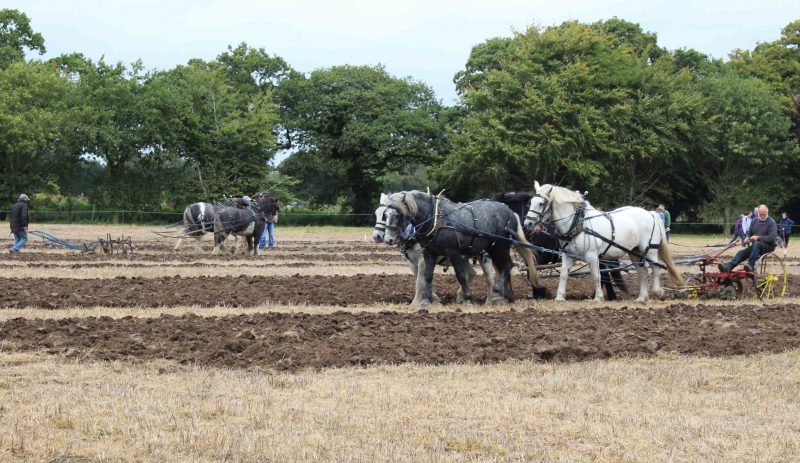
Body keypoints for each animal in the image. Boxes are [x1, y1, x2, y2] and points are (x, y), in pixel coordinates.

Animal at [384, 190, 548, 306]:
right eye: (385, 214)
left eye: (397, 215)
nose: (388, 239)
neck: (436, 219)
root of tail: (510, 212)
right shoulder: (428, 253)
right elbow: (427, 276)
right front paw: (426, 301)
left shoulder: (453, 252)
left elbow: (460, 275)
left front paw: (468, 299)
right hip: (493, 249)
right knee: (505, 268)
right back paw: (508, 298)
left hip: (499, 248)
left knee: (506, 266)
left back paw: (495, 294)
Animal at [490, 191, 628, 300]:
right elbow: (531, 272)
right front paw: (539, 293)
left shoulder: (541, 257)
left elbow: (531, 274)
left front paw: (541, 292)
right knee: (605, 274)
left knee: (604, 274)